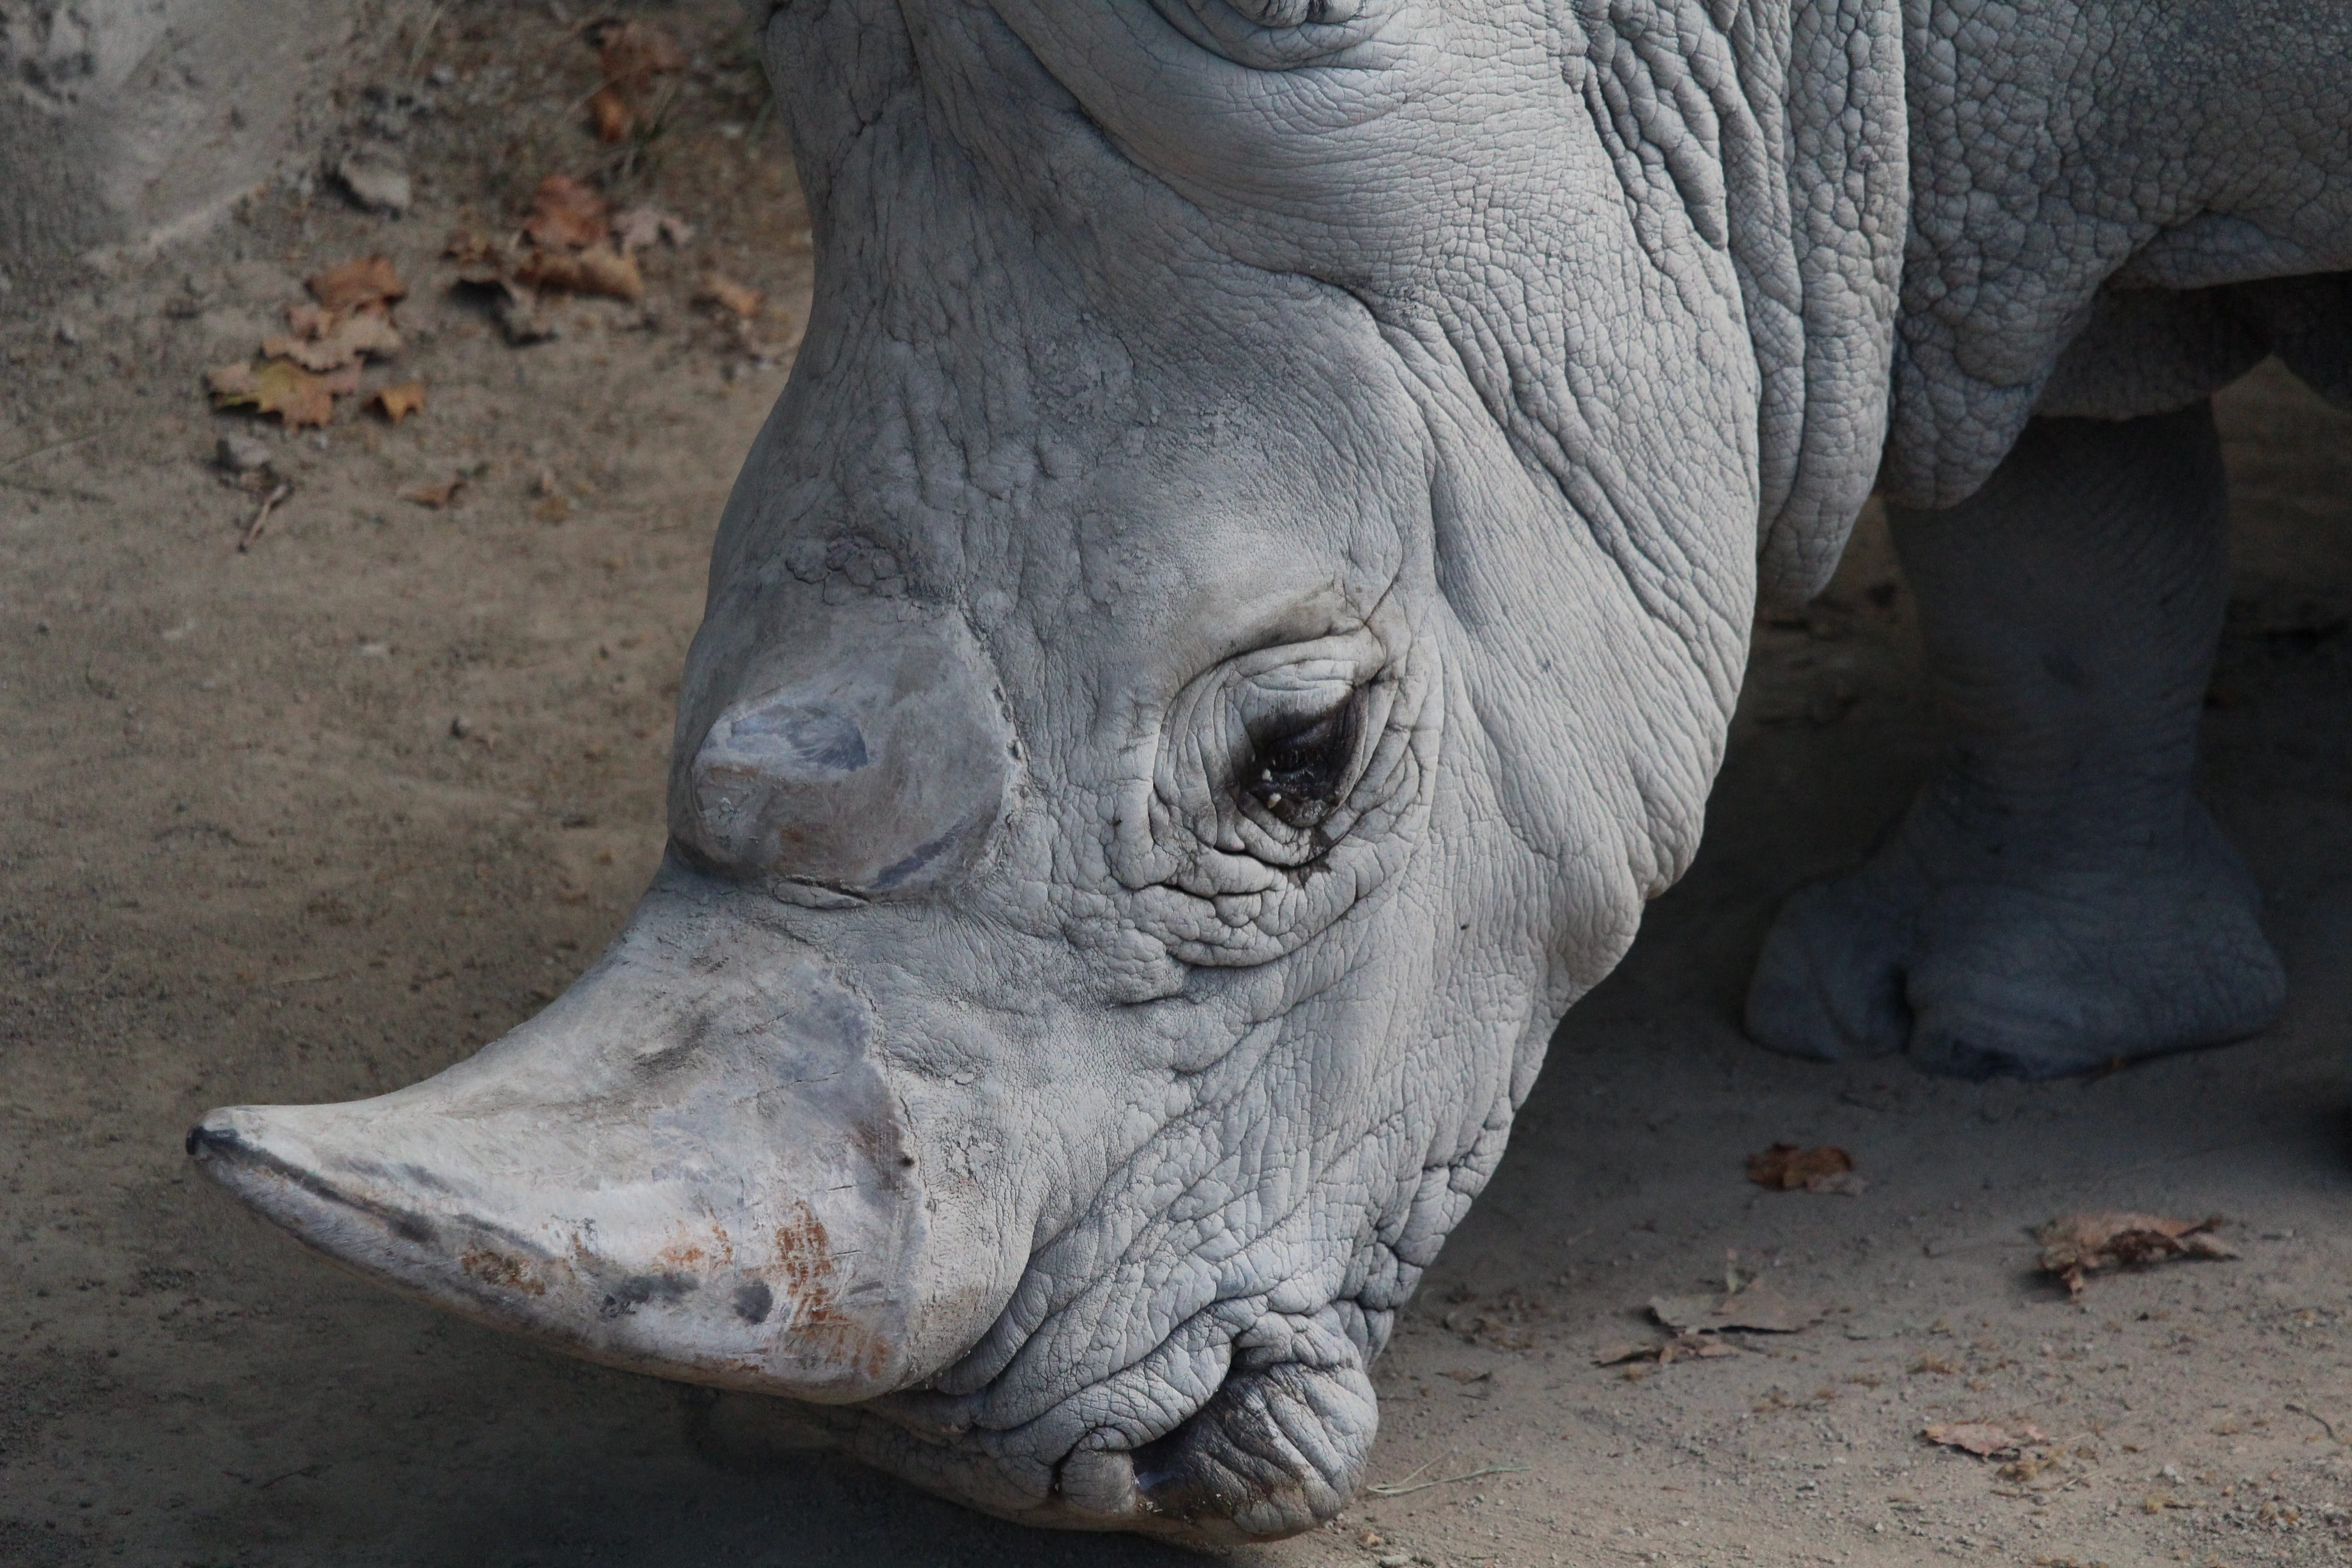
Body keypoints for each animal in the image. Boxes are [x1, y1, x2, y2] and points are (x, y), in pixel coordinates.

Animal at [189, 0, 2352, 1545]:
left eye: (1298, 758)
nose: (951, 1459)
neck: (1747, 57)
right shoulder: (1977, 192)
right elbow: (2056, 548)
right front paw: (1983, 1033)